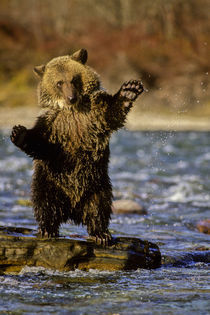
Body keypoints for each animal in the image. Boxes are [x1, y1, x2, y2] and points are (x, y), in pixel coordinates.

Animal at [10, 49, 144, 246]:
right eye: (59, 82)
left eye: (73, 79)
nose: (71, 97)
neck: (72, 110)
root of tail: (72, 210)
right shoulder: (53, 125)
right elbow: (40, 145)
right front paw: (18, 132)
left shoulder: (93, 114)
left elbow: (112, 112)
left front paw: (129, 90)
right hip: (49, 180)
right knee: (44, 203)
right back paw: (47, 229)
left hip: (97, 183)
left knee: (99, 206)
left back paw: (101, 234)